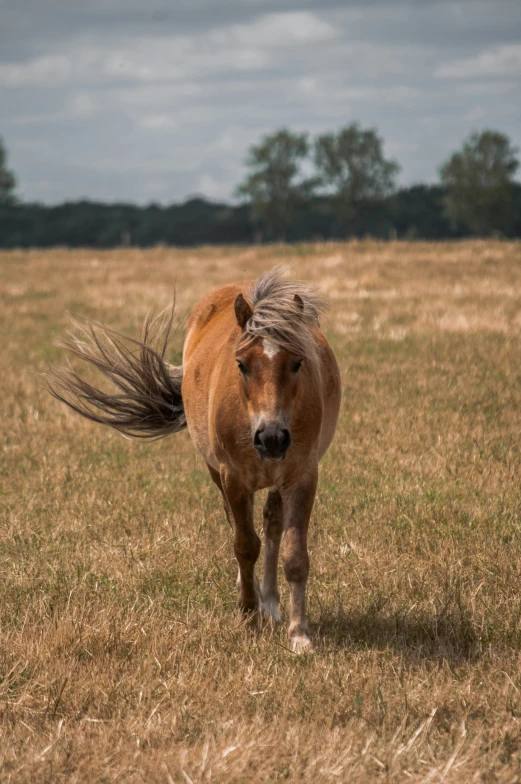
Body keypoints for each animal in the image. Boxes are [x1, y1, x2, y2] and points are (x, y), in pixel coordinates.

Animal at [48, 268, 342, 648]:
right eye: (241, 364)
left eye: (297, 362)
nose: (272, 438)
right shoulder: (233, 478)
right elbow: (244, 545)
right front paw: (248, 618)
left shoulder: (302, 476)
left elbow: (295, 557)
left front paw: (299, 635)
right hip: (218, 472)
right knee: (241, 527)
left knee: (271, 525)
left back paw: (270, 602)